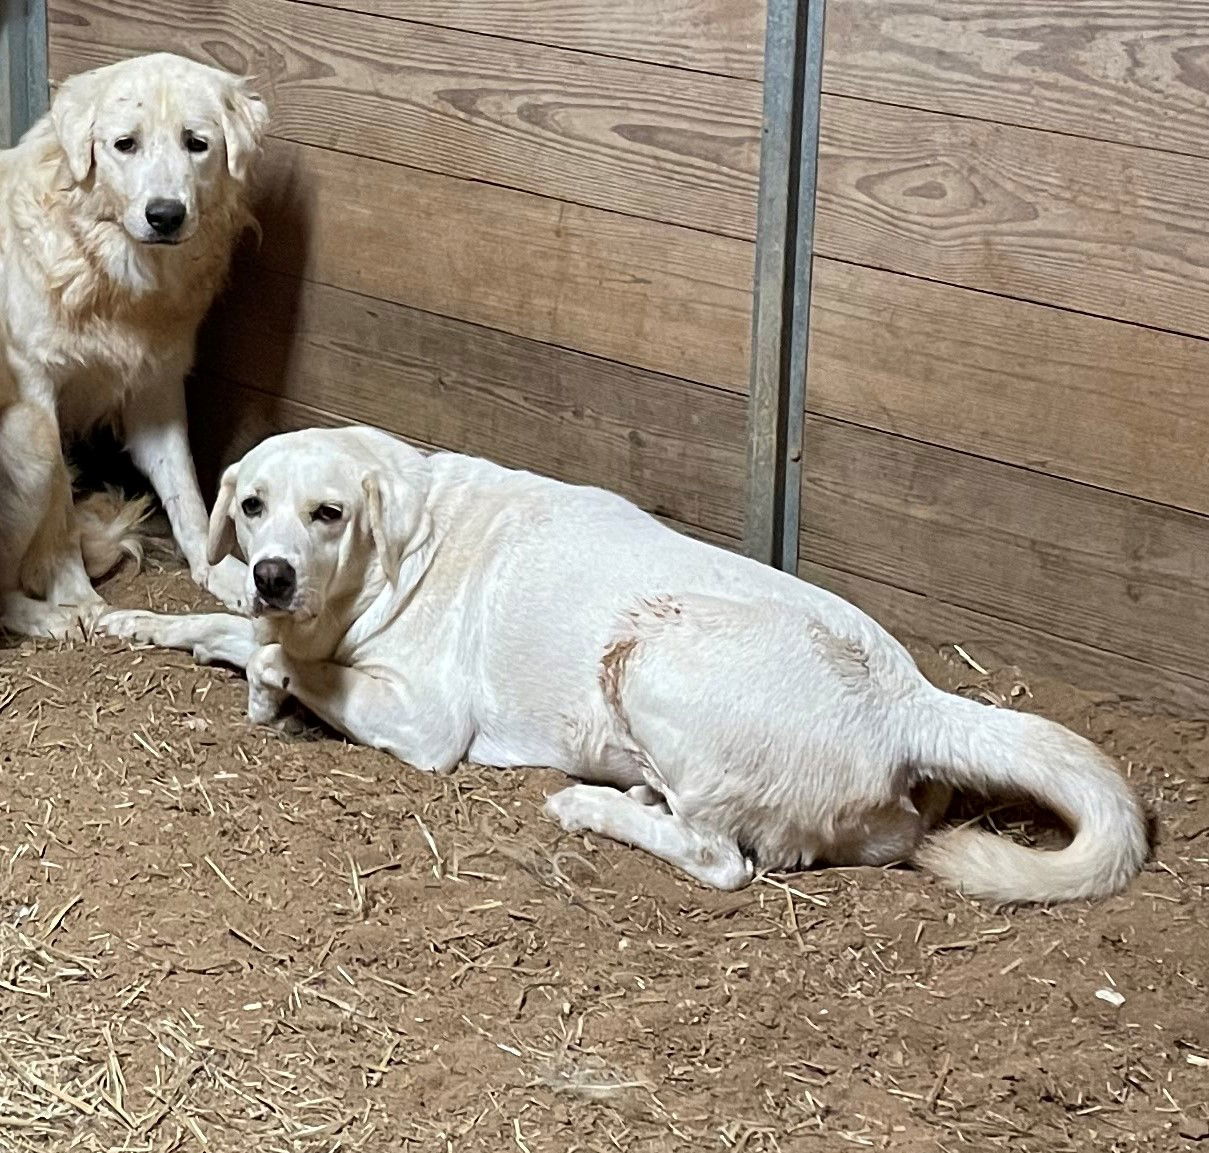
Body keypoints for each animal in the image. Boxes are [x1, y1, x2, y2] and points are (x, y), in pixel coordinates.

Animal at [0, 51, 267, 638]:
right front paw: (78, 598)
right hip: (30, 437)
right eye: (125, 145)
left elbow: (188, 497)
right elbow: (59, 518)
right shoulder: (37, 389)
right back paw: (49, 616)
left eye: (197, 143)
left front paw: (222, 574)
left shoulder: (155, 388)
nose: (165, 215)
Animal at [101, 427, 1141, 904]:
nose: (272, 573)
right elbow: (221, 622)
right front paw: (135, 621)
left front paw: (266, 680)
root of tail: (909, 699)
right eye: (251, 505)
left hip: (651, 655)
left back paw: (592, 806)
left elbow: (284, 659)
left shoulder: (426, 721)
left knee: (722, 859)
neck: (398, 543)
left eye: (328, 514)